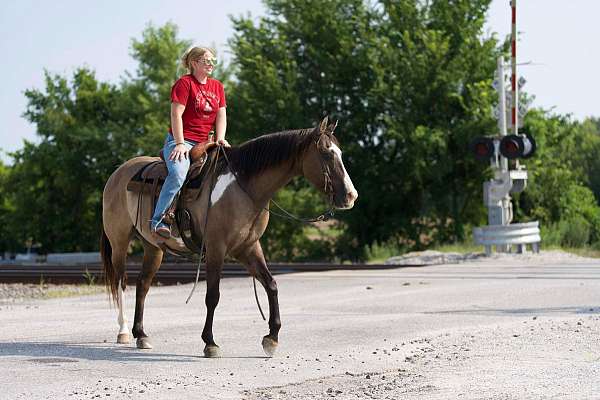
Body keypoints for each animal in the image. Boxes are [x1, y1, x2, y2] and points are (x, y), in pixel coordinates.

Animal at [101, 115, 358, 356]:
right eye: (326, 154)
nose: (351, 196)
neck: (243, 187)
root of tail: (118, 173)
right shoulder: (217, 248)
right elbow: (213, 295)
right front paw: (210, 342)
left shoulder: (248, 247)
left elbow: (271, 285)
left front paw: (271, 338)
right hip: (120, 242)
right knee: (121, 282)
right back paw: (124, 332)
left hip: (153, 247)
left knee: (142, 285)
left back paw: (141, 334)